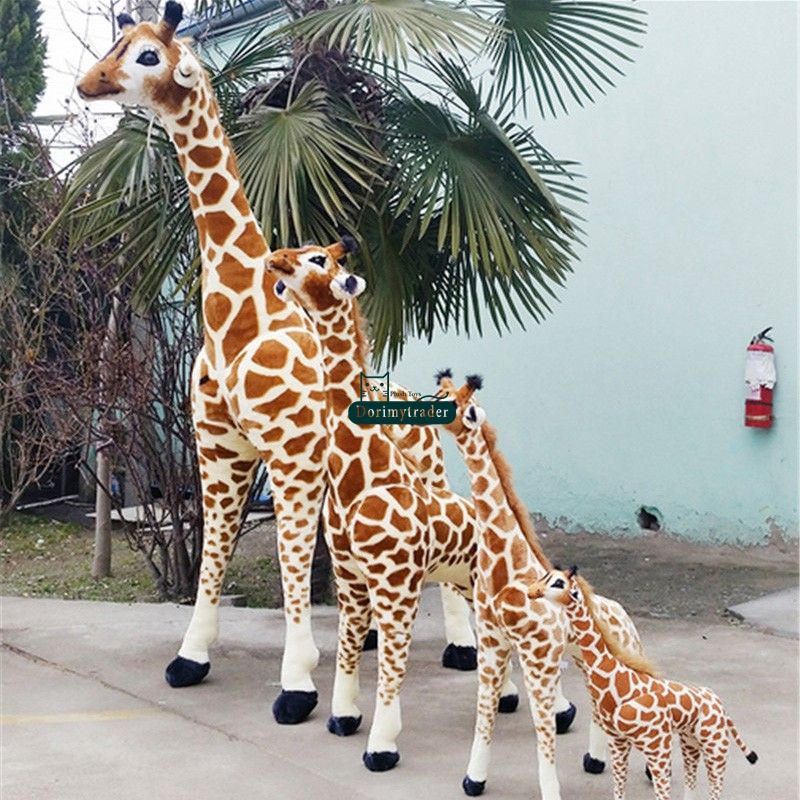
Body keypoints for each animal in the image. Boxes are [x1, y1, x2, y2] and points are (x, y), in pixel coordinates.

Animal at [265, 240, 513, 772]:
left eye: (317, 260)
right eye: (305, 250)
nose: (274, 258)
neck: (360, 474)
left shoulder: (396, 585)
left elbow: (391, 665)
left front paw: (381, 746)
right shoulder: (351, 576)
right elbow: (348, 649)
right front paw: (343, 719)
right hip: (467, 583)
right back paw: (508, 699)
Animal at [436, 372, 649, 795]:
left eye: (449, 402)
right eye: (438, 392)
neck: (507, 567)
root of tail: (621, 612)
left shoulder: (539, 657)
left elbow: (543, 727)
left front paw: (550, 791)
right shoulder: (493, 644)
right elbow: (485, 714)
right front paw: (474, 779)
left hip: (618, 652)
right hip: (586, 658)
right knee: (601, 707)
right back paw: (596, 761)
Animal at [530, 567, 758, 800]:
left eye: (558, 583)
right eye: (545, 576)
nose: (532, 591)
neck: (615, 677)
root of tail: (719, 704)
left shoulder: (658, 745)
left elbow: (661, 792)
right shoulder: (618, 741)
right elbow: (619, 786)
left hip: (715, 745)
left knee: (716, 784)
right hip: (690, 742)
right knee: (692, 780)